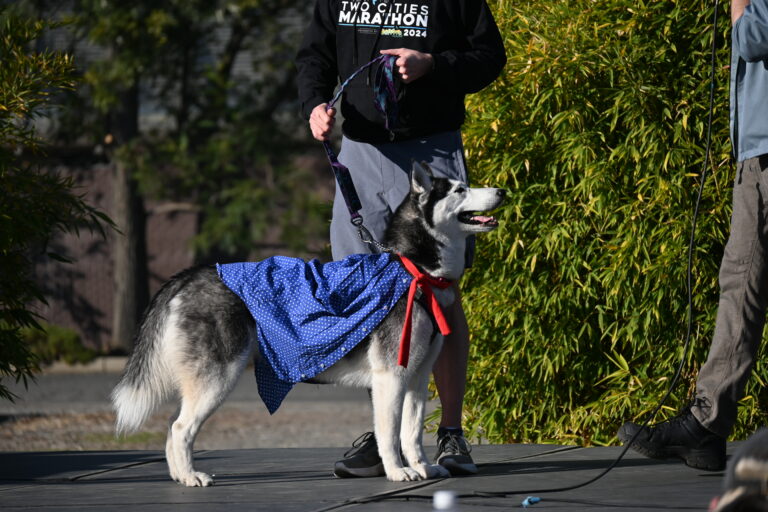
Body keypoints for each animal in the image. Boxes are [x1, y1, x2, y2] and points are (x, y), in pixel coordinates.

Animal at [109, 162, 504, 486]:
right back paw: (191, 477)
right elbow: (390, 434)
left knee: (172, 426)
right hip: (217, 379)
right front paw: (397, 471)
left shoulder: (418, 379)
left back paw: (179, 475)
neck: (412, 270)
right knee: (180, 427)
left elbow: (411, 433)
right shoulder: (390, 377)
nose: (502, 191)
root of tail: (190, 274)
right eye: (459, 190)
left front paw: (421, 467)